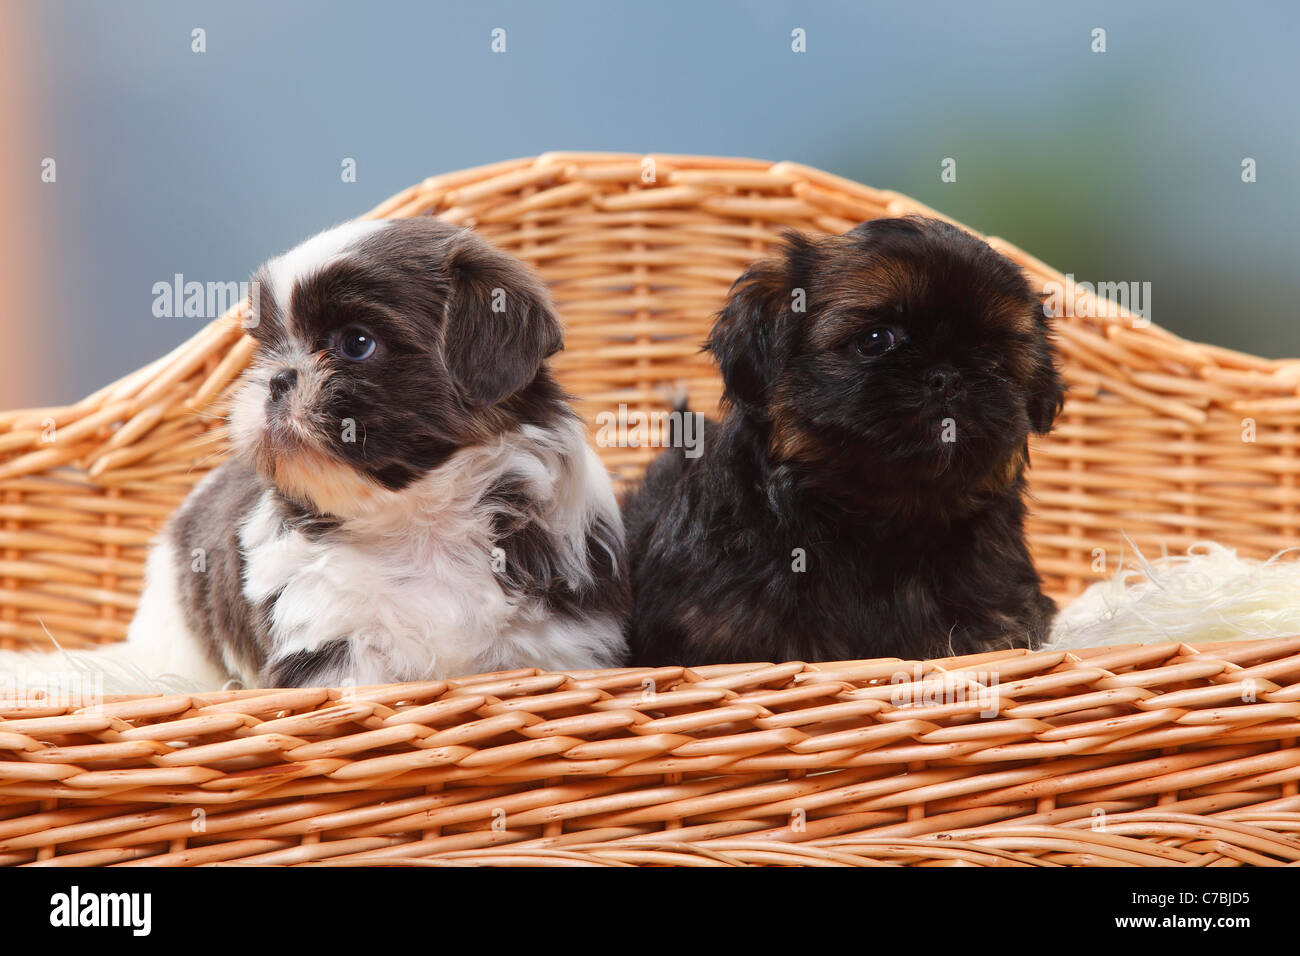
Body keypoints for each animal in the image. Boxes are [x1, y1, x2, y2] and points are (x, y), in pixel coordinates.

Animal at [119, 218, 626, 686]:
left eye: (357, 343)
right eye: (267, 349)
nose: (277, 379)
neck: (420, 523)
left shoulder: (559, 643)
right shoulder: (327, 640)